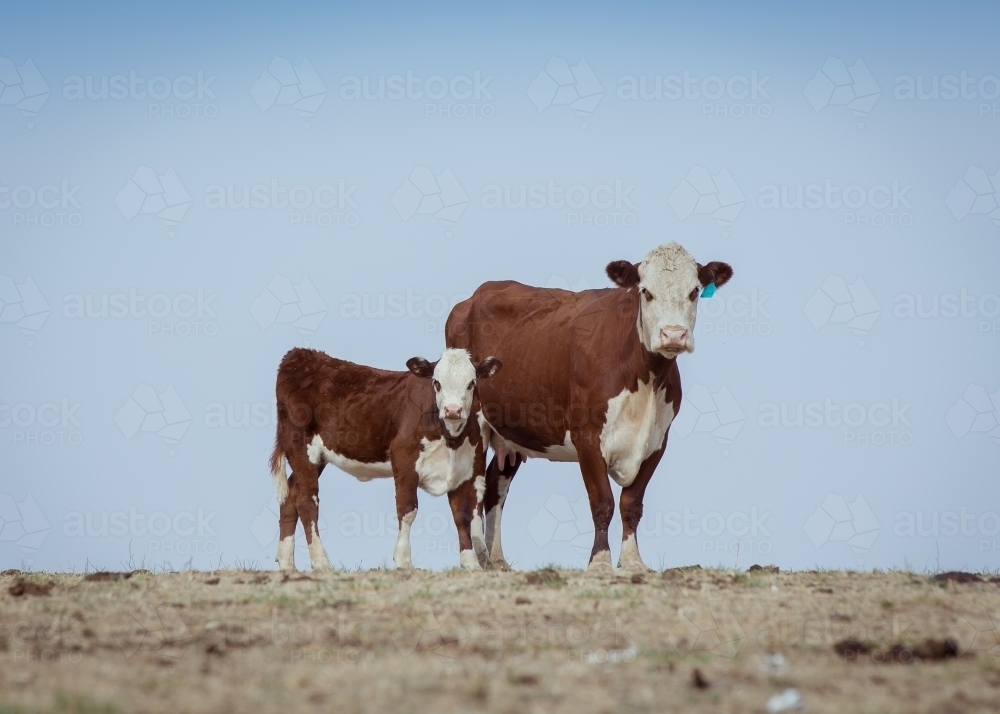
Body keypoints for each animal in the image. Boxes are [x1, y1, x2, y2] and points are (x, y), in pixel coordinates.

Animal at [268, 344, 500, 568]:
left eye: (471, 383)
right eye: (436, 383)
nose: (453, 410)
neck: (450, 439)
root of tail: (300, 355)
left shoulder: (462, 469)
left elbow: (462, 516)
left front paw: (471, 563)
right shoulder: (404, 459)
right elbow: (407, 510)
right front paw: (404, 560)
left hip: (315, 457)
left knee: (291, 495)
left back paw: (287, 563)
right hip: (300, 445)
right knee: (307, 501)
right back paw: (321, 562)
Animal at [448, 242, 736, 572]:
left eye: (695, 291)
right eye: (646, 291)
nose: (673, 335)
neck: (645, 379)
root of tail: (474, 297)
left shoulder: (658, 440)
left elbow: (631, 503)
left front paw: (633, 561)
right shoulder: (586, 435)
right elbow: (603, 502)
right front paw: (599, 561)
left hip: (513, 430)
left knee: (496, 487)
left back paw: (497, 560)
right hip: (472, 423)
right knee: (473, 489)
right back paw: (479, 557)